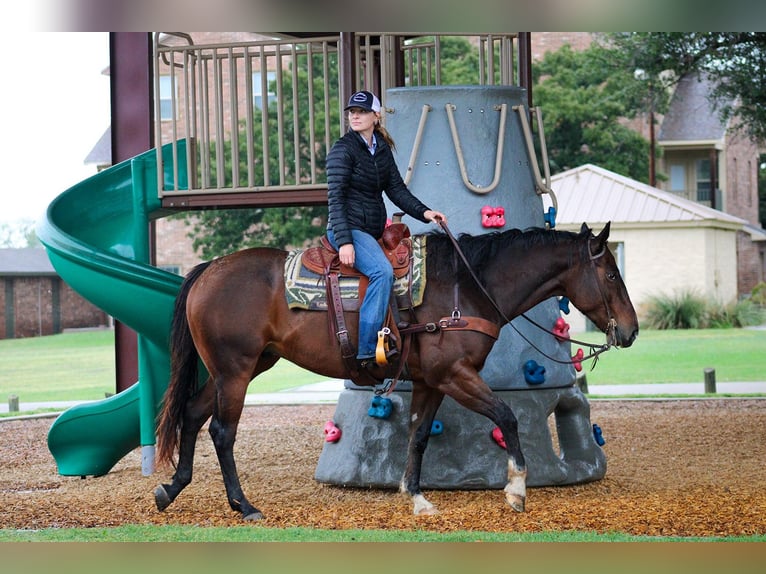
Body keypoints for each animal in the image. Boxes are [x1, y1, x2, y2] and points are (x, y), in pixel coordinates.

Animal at [153, 220, 640, 520]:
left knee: (192, 416)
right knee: (222, 432)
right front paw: (517, 490)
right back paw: (243, 504)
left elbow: (419, 434)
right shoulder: (455, 375)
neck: (466, 286)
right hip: (234, 371)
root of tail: (208, 270)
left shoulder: (431, 381)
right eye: (611, 274)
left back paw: (171, 488)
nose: (632, 330)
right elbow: (507, 416)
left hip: (239, 369)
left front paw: (416, 497)